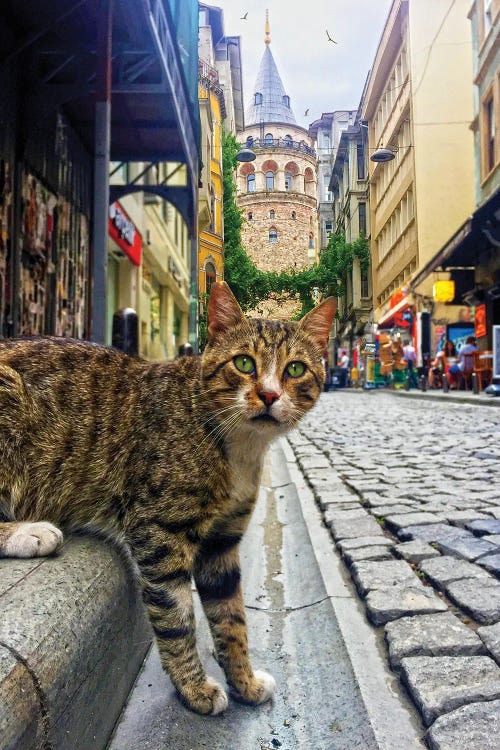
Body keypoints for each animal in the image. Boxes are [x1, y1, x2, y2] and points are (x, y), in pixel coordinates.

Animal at [0, 282, 338, 716]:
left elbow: (231, 619)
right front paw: (193, 688)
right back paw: (29, 533)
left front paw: (243, 681)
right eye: (244, 363)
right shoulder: (158, 533)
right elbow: (176, 618)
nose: (267, 394)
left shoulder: (221, 543)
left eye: (295, 369)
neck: (237, 447)